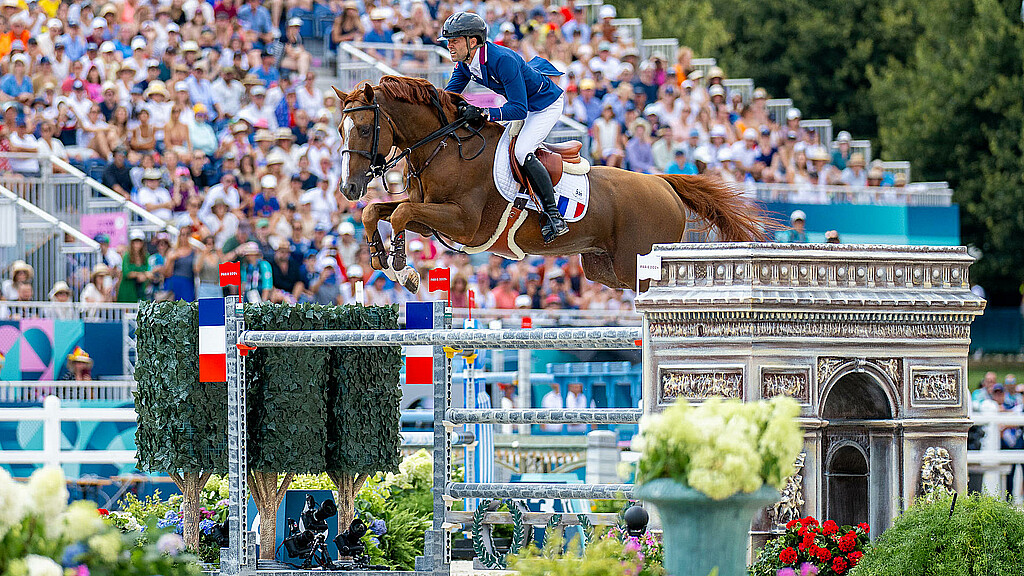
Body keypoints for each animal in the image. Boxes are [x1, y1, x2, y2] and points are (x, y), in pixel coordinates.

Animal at [335, 76, 770, 291]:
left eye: (363, 128)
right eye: (340, 129)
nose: (348, 189)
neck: (445, 146)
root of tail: (663, 185)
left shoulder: (463, 222)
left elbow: (400, 213)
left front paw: (403, 270)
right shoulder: (432, 220)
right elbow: (377, 212)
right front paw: (380, 258)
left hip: (637, 265)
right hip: (603, 269)